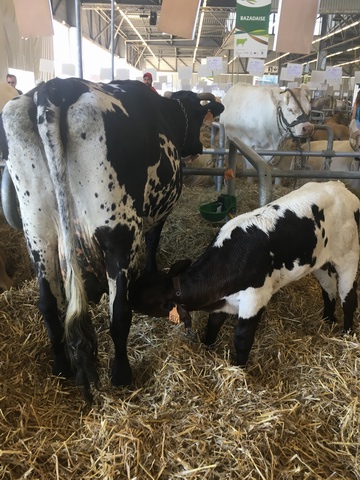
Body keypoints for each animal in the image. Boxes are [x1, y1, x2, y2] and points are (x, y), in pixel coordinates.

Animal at [0, 77, 225, 398]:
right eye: (197, 116)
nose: (198, 146)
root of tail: (57, 87)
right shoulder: (158, 212)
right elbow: (152, 242)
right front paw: (151, 271)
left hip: (38, 229)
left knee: (47, 304)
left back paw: (60, 365)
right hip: (119, 232)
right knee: (119, 312)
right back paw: (121, 374)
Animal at [130, 182, 360, 366]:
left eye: (140, 299)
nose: (125, 297)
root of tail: (342, 187)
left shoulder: (254, 298)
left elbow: (242, 338)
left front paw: (240, 368)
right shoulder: (223, 301)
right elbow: (213, 324)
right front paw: (207, 347)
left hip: (348, 257)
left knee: (348, 298)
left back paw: (346, 333)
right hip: (320, 263)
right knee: (328, 291)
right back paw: (328, 320)